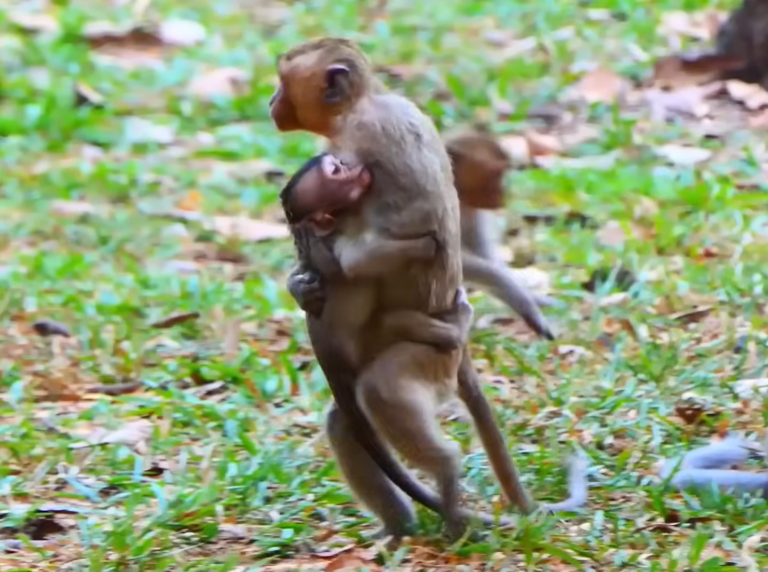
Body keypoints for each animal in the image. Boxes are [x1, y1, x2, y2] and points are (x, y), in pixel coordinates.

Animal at [271, 37, 585, 538]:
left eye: (283, 83)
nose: (272, 101)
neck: (364, 105)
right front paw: (302, 284)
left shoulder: (368, 139)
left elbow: (386, 240)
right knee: (350, 415)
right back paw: (402, 526)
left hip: (429, 361)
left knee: (379, 388)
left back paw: (447, 485)